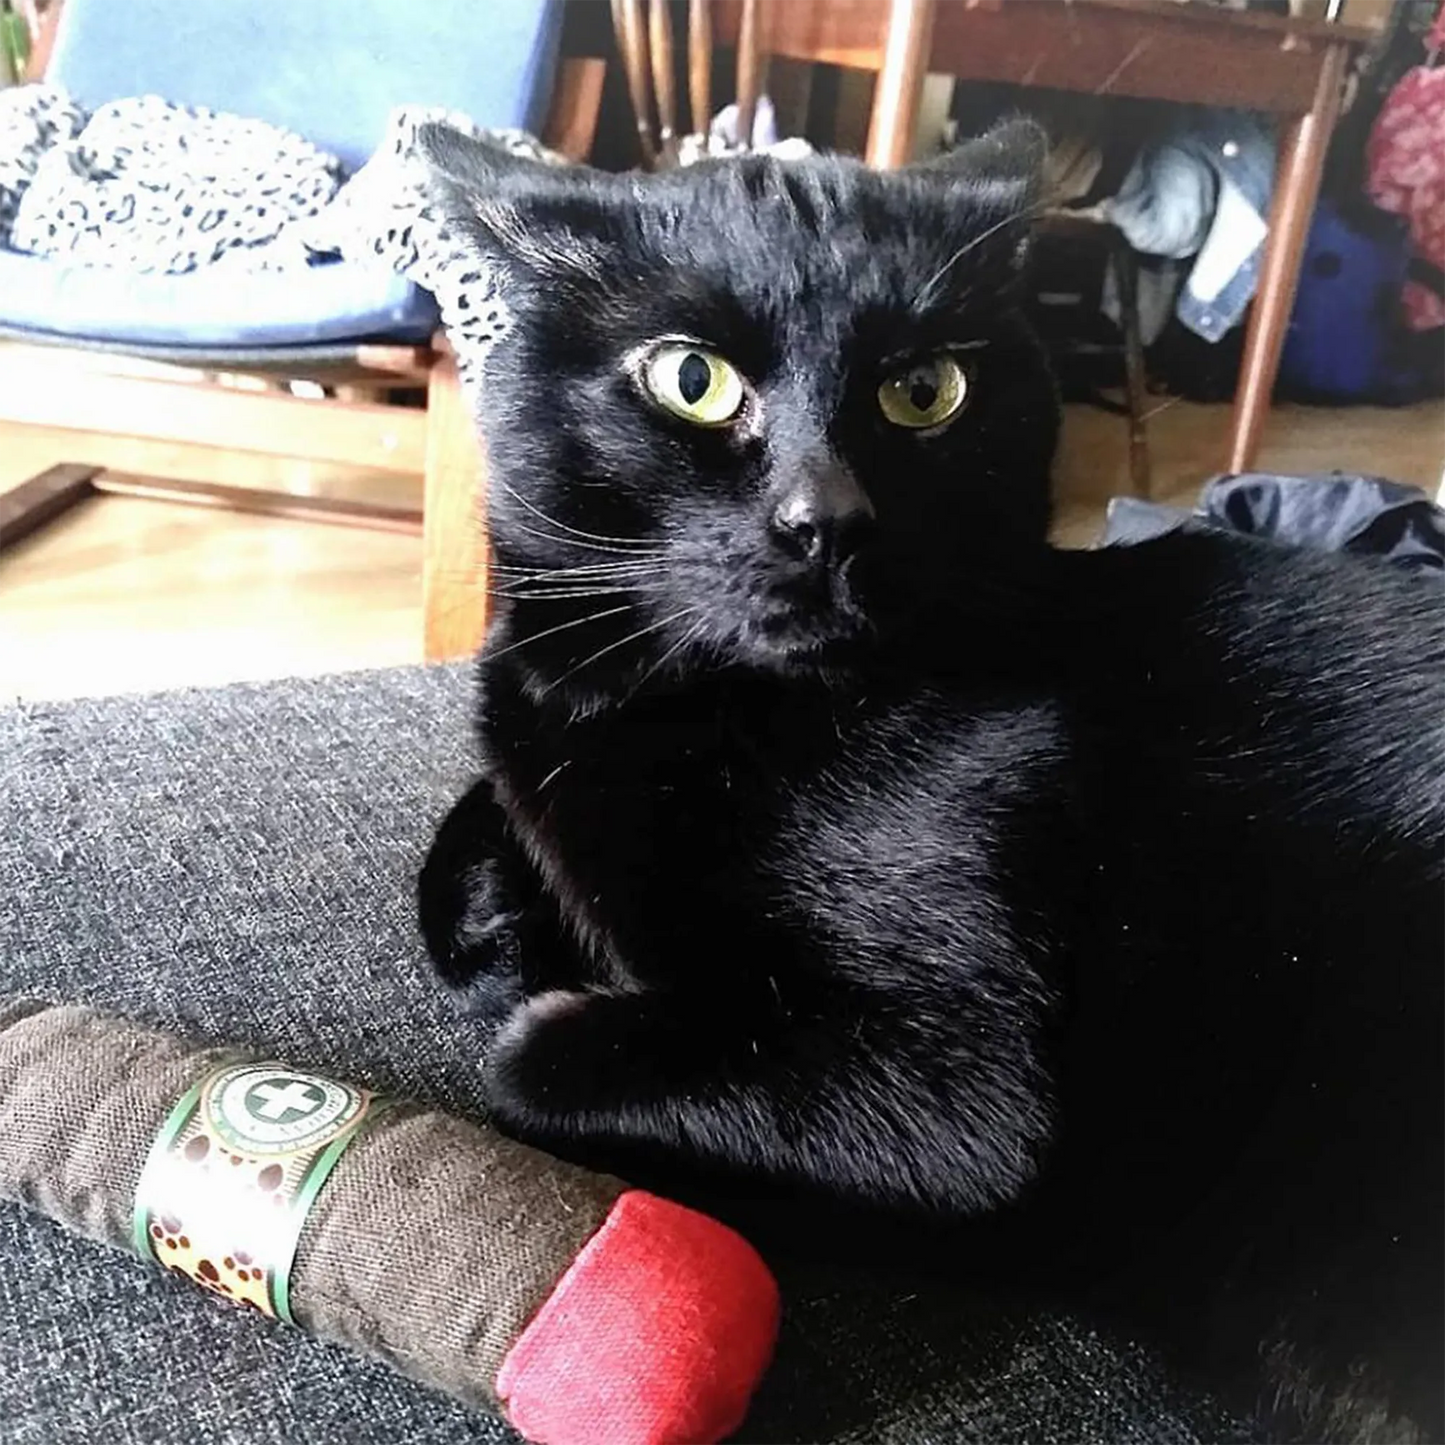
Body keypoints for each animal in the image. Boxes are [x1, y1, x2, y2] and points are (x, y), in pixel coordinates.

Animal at [416, 124, 1445, 1445]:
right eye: (689, 377)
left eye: (924, 390)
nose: (829, 520)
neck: (719, 706)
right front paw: (490, 905)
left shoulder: (958, 1102)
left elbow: (524, 1056)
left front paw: (538, 976)